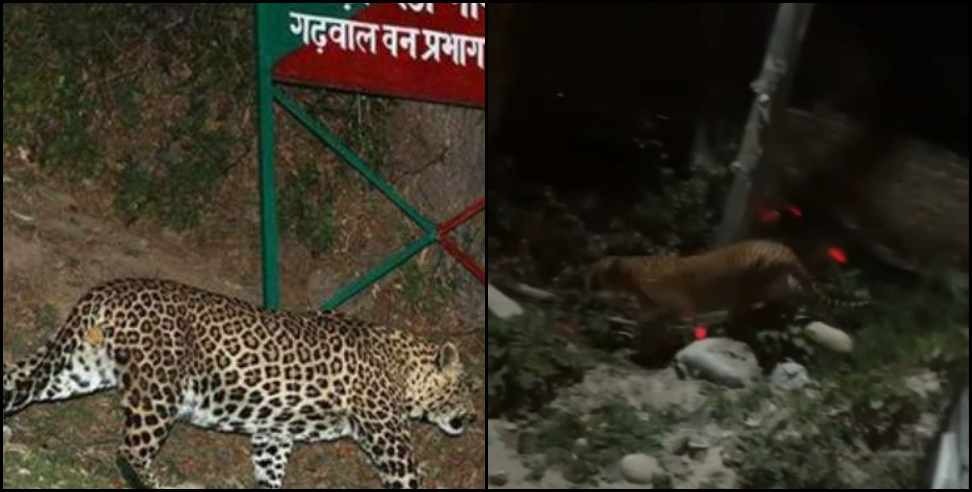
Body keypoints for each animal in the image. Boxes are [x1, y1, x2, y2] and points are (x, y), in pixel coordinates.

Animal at [1, 276, 480, 488]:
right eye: (464, 389)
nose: (474, 418)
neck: (404, 367)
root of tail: (106, 290)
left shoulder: (273, 435)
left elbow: (269, 475)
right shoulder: (389, 440)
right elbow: (408, 478)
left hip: (78, 367)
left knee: (17, 379)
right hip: (160, 390)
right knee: (129, 452)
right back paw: (154, 483)